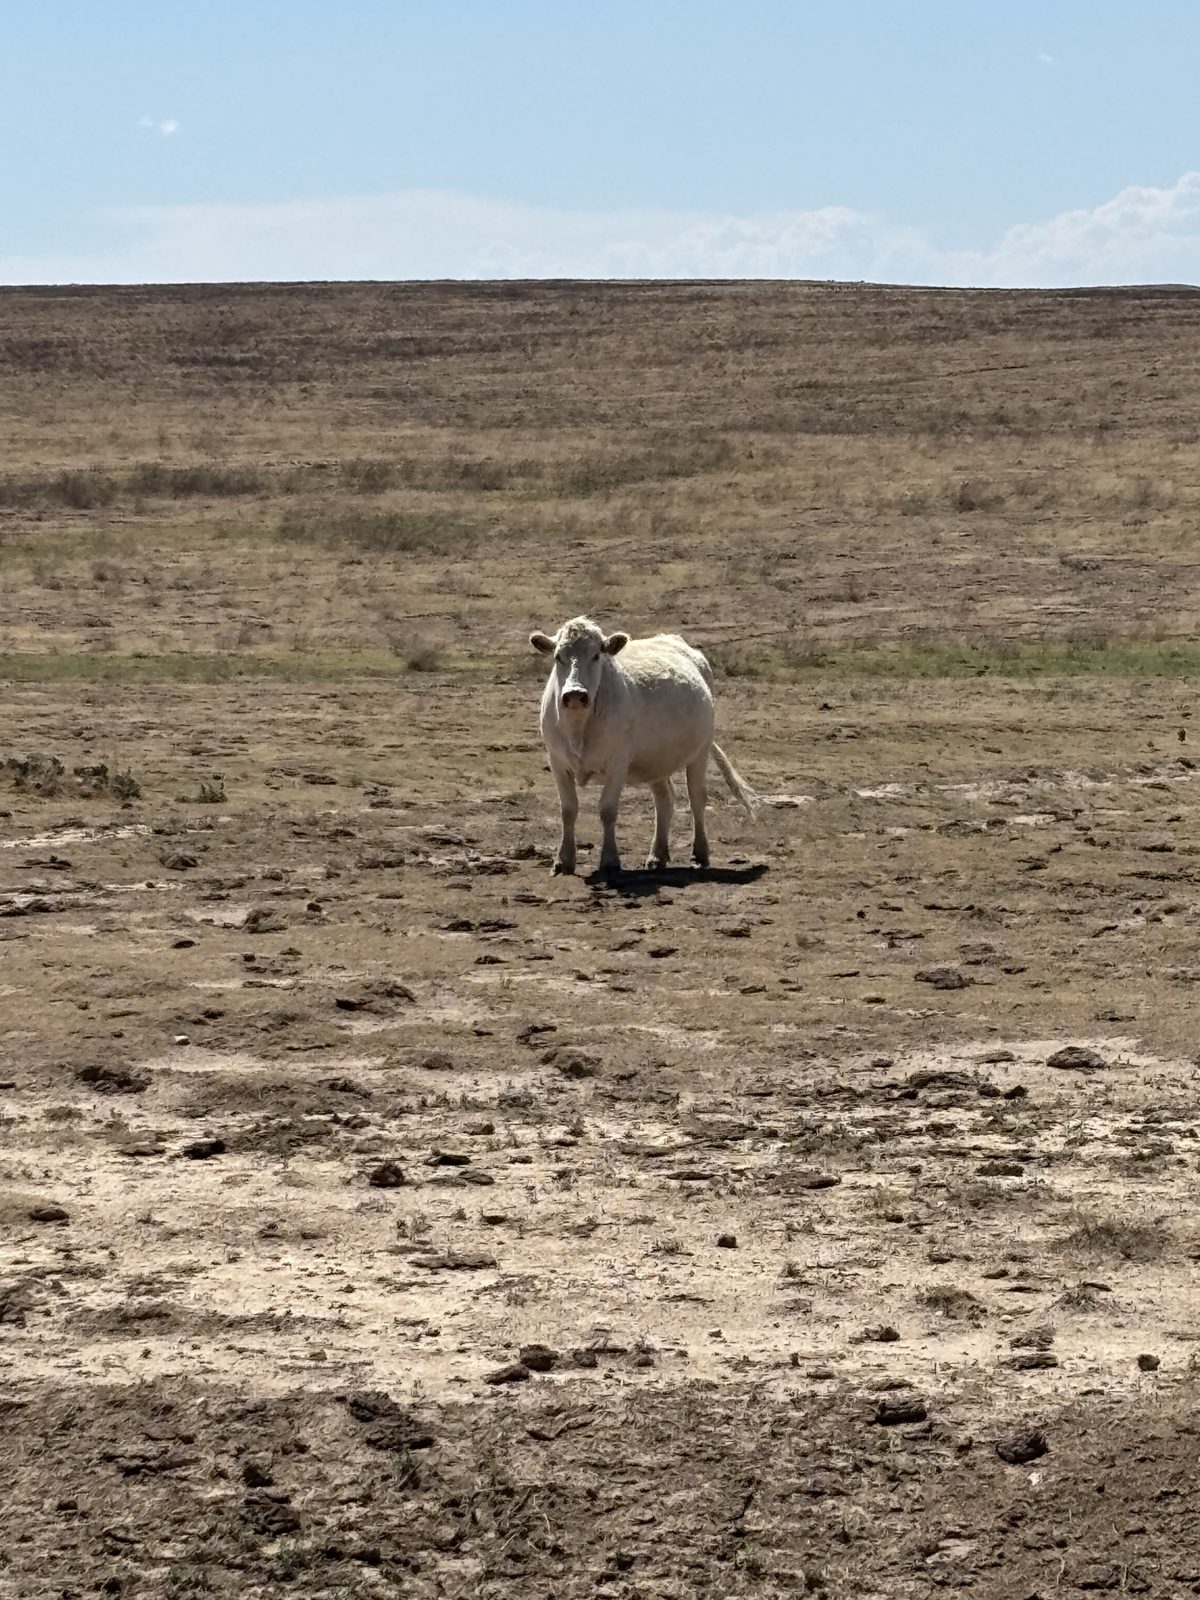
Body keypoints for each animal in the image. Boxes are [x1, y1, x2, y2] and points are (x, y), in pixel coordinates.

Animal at [529, 615, 755, 878]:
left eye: (596, 655)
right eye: (558, 657)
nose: (575, 694)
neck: (578, 727)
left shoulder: (618, 763)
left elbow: (607, 810)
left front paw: (610, 861)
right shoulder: (557, 761)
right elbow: (568, 809)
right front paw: (563, 860)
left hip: (700, 751)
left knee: (697, 798)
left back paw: (700, 854)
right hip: (657, 761)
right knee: (664, 801)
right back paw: (657, 855)